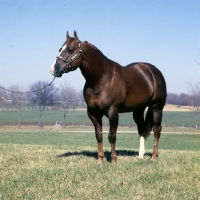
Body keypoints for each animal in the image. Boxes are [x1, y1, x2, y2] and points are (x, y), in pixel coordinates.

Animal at [50, 30, 167, 162]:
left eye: (70, 50)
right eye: (60, 49)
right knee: (141, 129)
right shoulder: (93, 113)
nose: (54, 69)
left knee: (157, 130)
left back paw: (154, 156)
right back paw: (140, 155)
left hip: (157, 107)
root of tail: (152, 71)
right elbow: (99, 135)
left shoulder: (113, 112)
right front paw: (100, 159)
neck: (101, 78)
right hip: (138, 110)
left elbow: (112, 136)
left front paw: (114, 159)